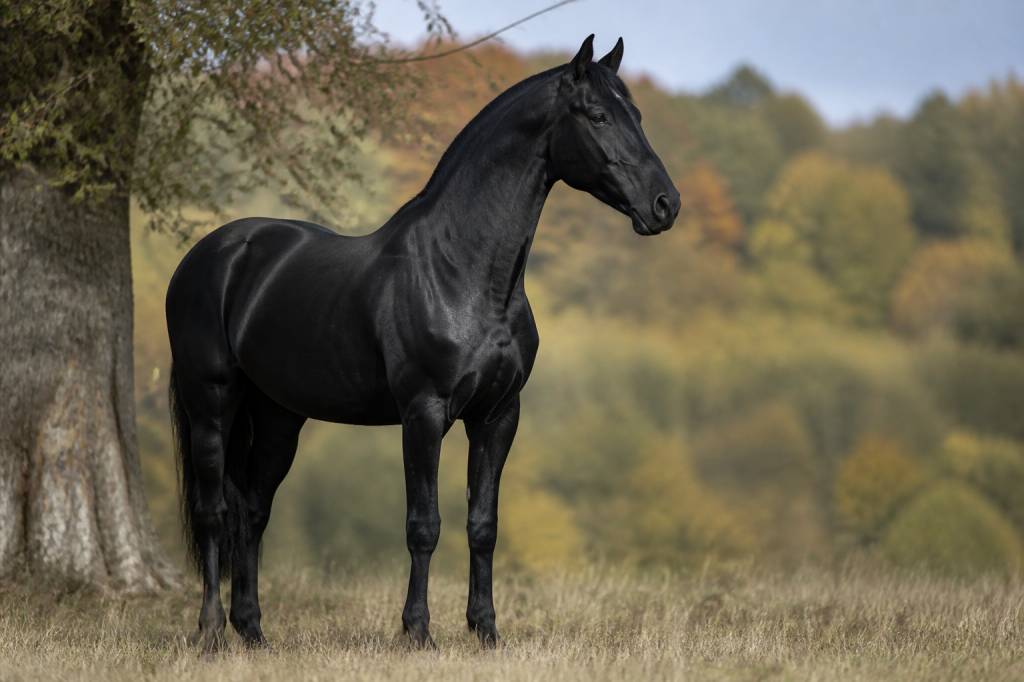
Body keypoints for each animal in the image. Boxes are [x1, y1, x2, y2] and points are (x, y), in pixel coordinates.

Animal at [166, 34, 680, 651]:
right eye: (599, 115)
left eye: (639, 116)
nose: (665, 205)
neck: (462, 271)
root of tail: (210, 255)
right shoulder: (424, 412)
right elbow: (423, 524)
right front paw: (417, 632)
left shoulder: (498, 416)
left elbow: (483, 525)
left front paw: (486, 631)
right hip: (211, 405)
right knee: (214, 510)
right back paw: (211, 632)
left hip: (277, 418)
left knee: (253, 510)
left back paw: (254, 632)